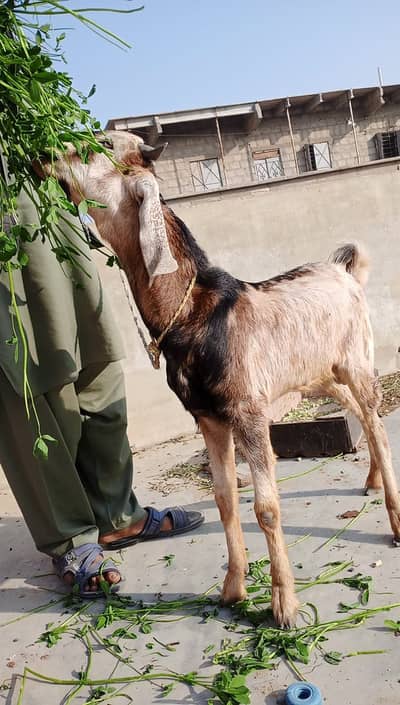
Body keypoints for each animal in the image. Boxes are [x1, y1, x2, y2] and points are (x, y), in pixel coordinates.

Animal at [39, 130, 400, 627]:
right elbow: (225, 498)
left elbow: (265, 507)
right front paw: (233, 589)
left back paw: (395, 518)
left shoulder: (247, 412)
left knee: (377, 422)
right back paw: (372, 479)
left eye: (100, 146)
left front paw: (285, 606)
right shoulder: (208, 418)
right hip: (318, 375)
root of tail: (344, 270)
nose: (43, 156)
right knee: (359, 415)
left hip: (356, 359)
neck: (195, 311)